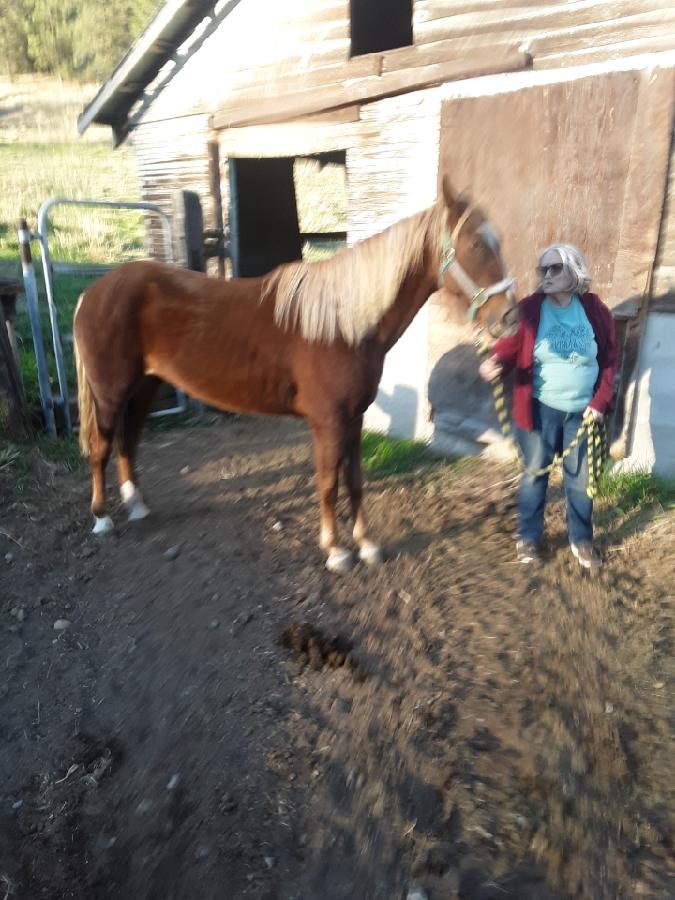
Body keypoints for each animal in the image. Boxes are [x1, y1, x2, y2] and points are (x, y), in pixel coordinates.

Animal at [73, 177, 517, 573]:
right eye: (476, 245)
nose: (509, 318)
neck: (343, 324)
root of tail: (92, 292)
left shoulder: (353, 419)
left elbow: (354, 481)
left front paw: (366, 545)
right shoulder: (327, 421)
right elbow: (327, 483)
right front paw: (336, 552)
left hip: (145, 387)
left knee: (129, 441)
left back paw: (138, 505)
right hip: (110, 392)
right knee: (101, 447)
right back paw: (102, 518)